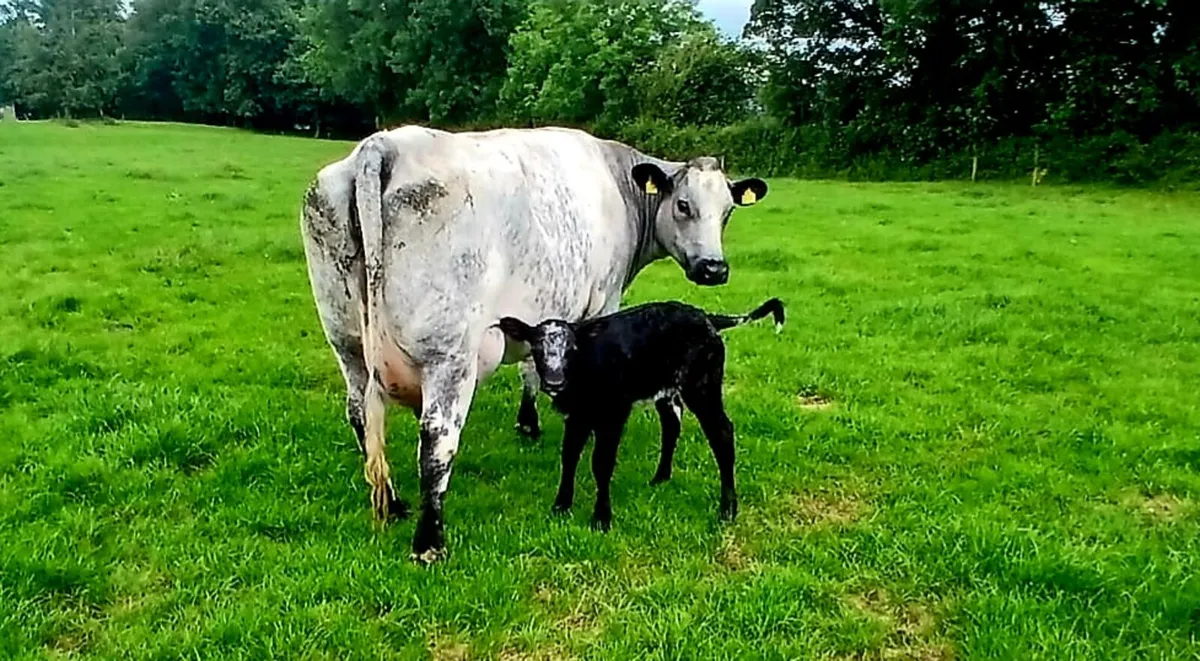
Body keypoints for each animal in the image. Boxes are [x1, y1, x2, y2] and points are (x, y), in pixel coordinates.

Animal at [299, 125, 768, 562]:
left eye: (728, 212)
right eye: (684, 205)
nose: (714, 269)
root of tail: (383, 145)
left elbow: (531, 364)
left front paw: (528, 422)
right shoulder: (601, 301)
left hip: (347, 342)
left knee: (362, 417)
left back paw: (396, 505)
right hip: (450, 355)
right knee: (436, 438)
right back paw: (429, 542)